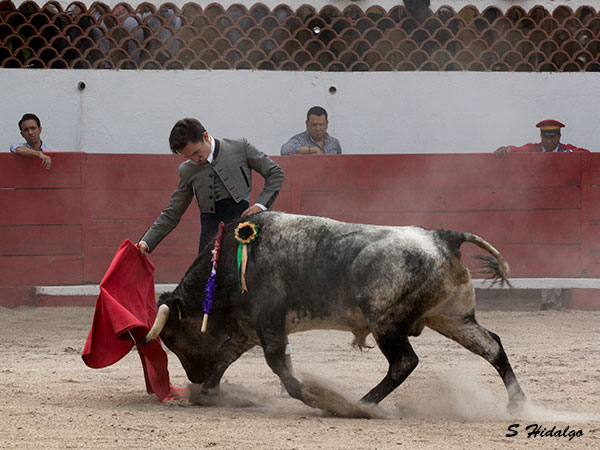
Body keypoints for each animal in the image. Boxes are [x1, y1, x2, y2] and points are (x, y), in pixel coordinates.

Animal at [141, 213, 524, 414]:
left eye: (171, 338)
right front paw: (209, 392)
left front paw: (313, 396)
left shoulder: (269, 319)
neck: (230, 263)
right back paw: (518, 404)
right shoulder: (248, 328)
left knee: (404, 362)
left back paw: (360, 405)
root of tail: (443, 237)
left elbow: (277, 362)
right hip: (453, 318)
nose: (194, 377)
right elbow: (225, 355)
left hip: (385, 321)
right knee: (491, 346)